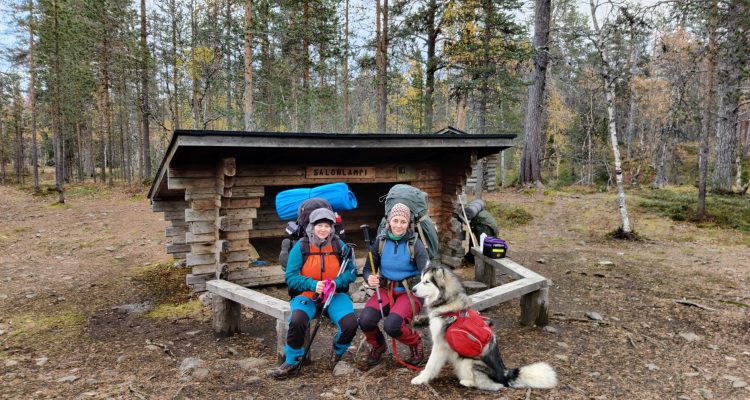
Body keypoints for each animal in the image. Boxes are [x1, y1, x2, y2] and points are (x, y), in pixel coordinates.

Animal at [412, 264, 560, 392]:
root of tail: (504, 372)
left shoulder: (439, 345)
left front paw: (421, 378)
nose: (412, 290)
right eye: (421, 280)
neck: (448, 302)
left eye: (426, 282)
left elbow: (430, 364)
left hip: (467, 362)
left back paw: (466, 381)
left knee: (491, 385)